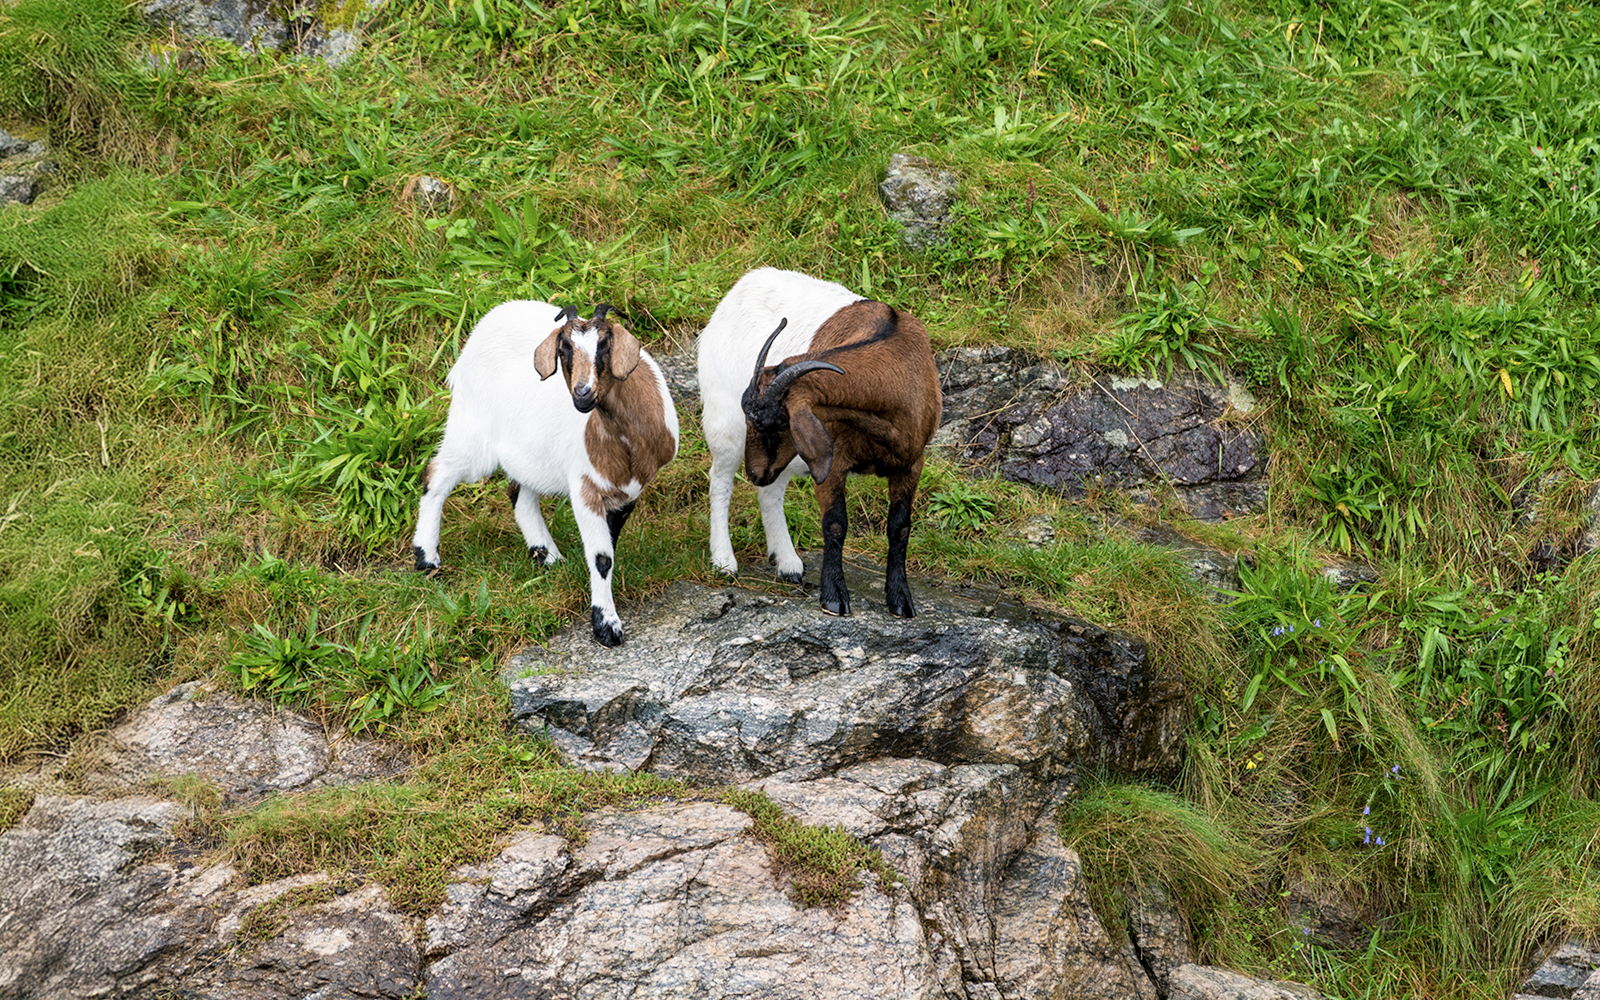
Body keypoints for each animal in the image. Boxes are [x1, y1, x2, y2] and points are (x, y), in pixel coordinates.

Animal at [412, 301, 679, 647]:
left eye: (605, 344)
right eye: (563, 349)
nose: (582, 394)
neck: (625, 442)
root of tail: (485, 322)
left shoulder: (628, 489)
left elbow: (609, 546)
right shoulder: (584, 486)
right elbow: (602, 557)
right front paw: (606, 626)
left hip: (528, 454)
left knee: (520, 496)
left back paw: (548, 557)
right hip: (471, 435)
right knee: (437, 475)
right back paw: (427, 560)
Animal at [698, 268, 943, 617]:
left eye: (779, 422)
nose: (754, 472)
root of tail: (741, 286)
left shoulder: (911, 462)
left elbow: (900, 528)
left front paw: (900, 600)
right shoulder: (833, 460)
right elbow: (835, 524)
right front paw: (834, 597)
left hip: (786, 457)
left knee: (770, 492)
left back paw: (787, 563)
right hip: (726, 422)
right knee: (720, 482)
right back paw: (723, 560)